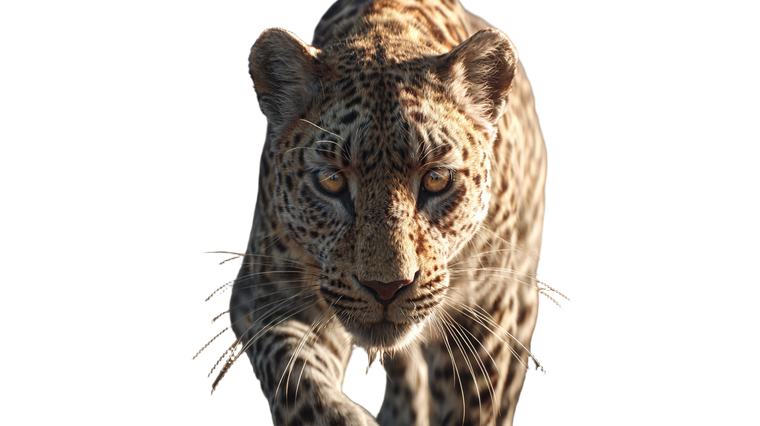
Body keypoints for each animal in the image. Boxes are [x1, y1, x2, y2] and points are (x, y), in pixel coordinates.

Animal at [196, 0, 567, 424]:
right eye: (332, 180)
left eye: (437, 179)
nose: (386, 288)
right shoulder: (270, 296)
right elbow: (301, 385)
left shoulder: (492, 309)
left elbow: (474, 405)